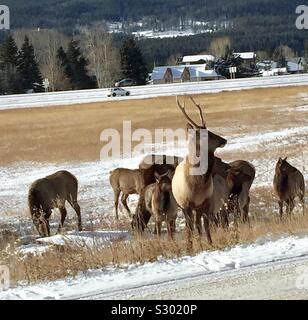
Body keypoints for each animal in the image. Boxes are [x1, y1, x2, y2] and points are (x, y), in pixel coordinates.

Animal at [171, 95, 226, 248]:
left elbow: (205, 226)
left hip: (199, 208)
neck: (198, 184)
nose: (224, 140)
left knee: (198, 225)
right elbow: (190, 228)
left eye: (210, 130)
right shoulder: (187, 203)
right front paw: (190, 248)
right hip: (184, 206)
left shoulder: (206, 202)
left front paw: (209, 243)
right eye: (204, 135)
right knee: (189, 226)